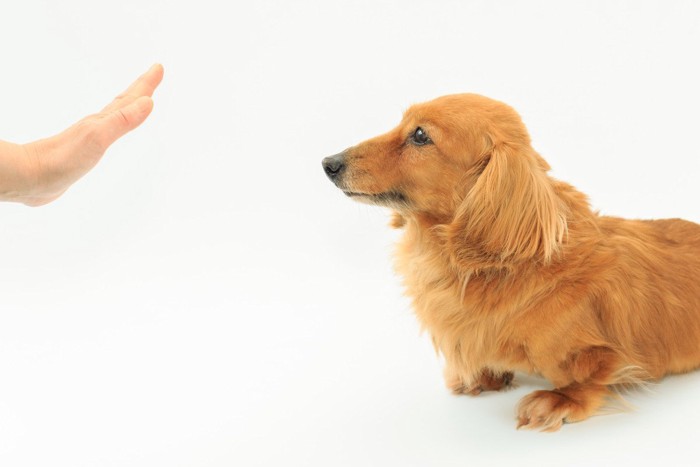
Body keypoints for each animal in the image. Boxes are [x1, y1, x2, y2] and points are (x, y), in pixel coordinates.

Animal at [322, 94, 700, 432]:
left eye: (420, 135)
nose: (328, 163)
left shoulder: (605, 352)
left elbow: (592, 375)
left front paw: (561, 400)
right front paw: (483, 376)